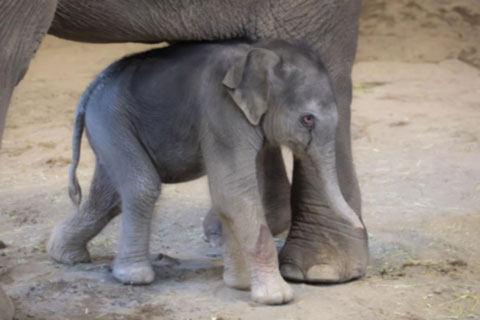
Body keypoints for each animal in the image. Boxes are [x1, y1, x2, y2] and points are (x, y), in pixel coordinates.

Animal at [0, 0, 368, 316]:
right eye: (307, 120)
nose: (360, 223)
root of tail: (89, 92)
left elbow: (230, 193)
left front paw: (243, 285)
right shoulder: (222, 113)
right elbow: (233, 193)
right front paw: (275, 296)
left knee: (119, 192)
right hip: (111, 120)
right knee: (132, 188)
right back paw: (120, 272)